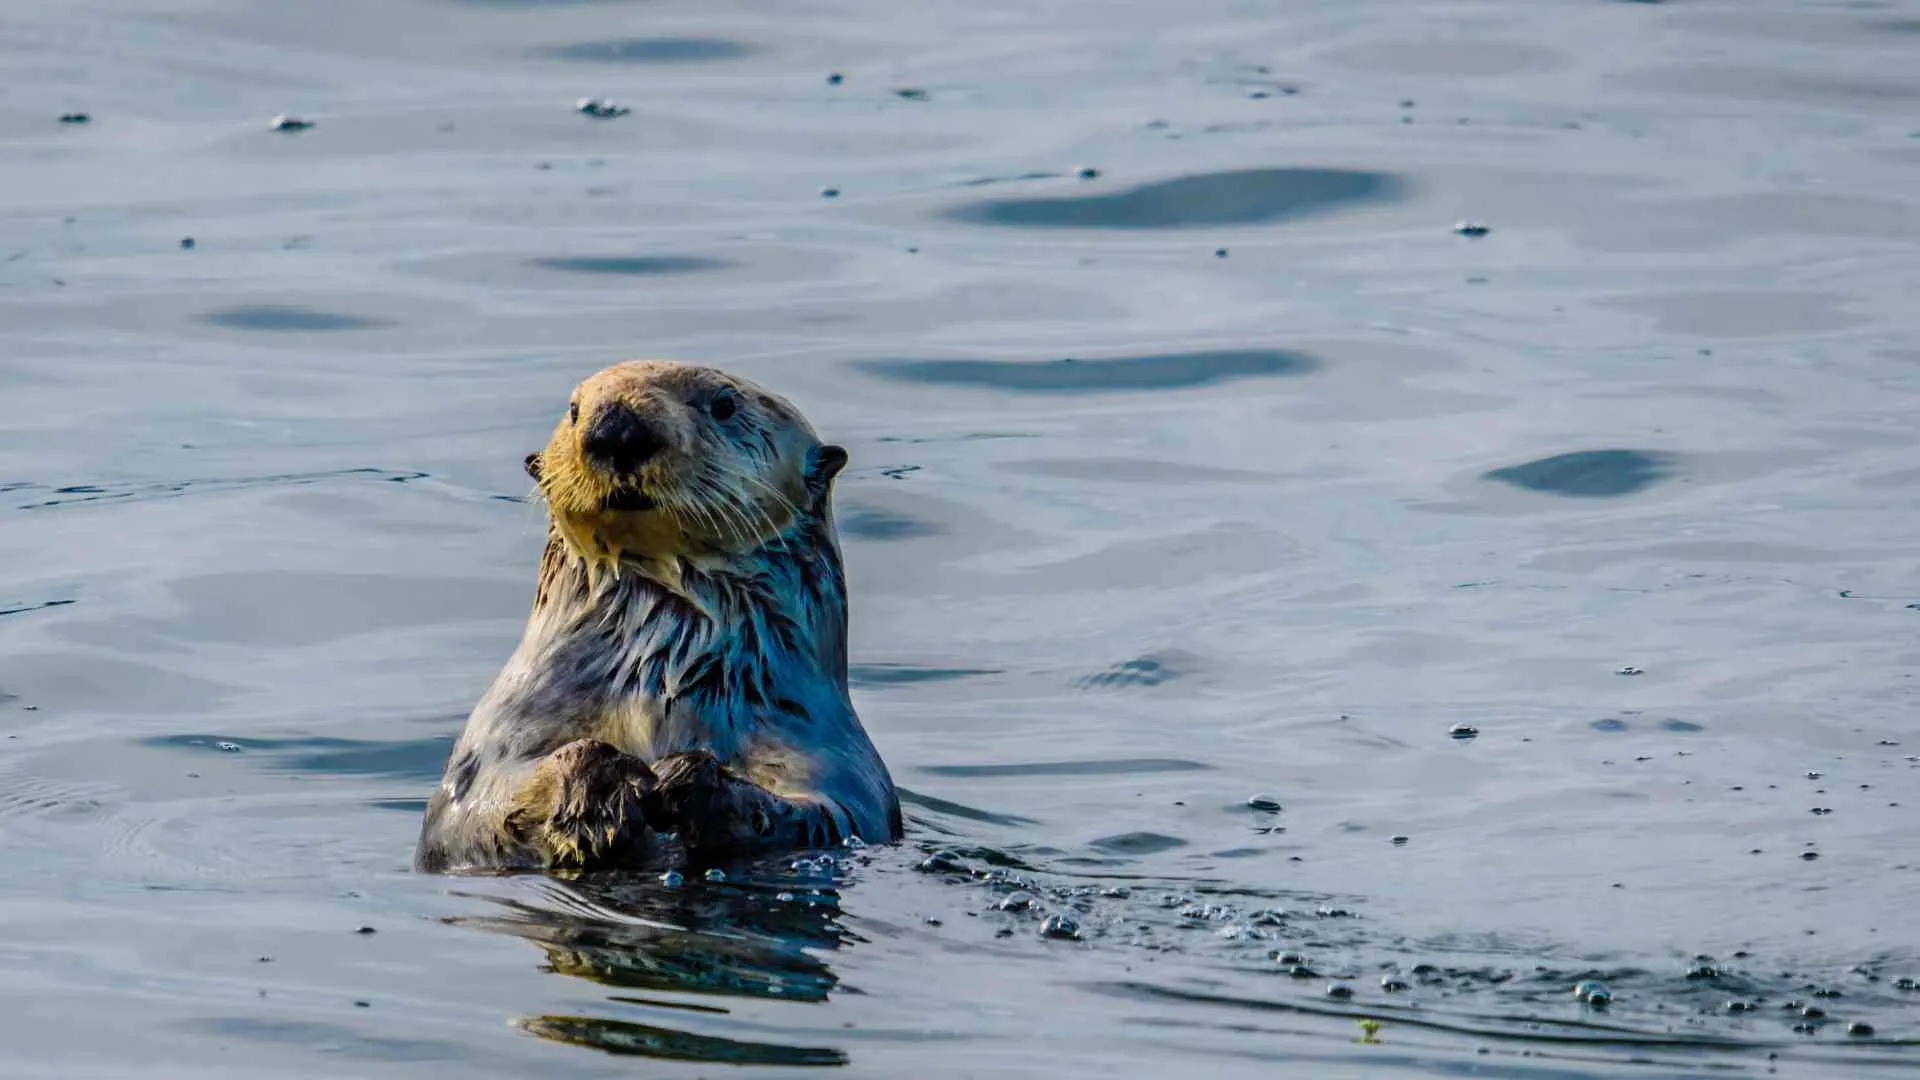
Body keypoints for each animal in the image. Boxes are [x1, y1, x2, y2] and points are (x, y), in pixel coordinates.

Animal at [415, 360, 901, 872]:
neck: (657, 676)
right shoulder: (498, 739)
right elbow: (467, 813)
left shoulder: (833, 755)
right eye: (574, 409)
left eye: (724, 404)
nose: (616, 427)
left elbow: (830, 811)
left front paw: (689, 779)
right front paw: (598, 786)